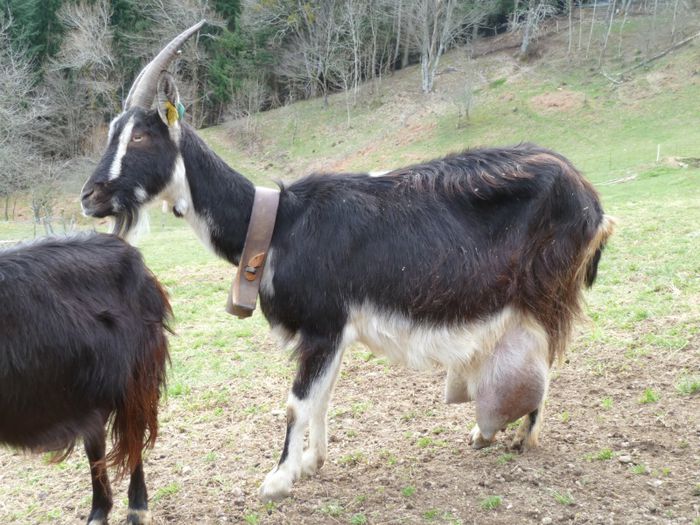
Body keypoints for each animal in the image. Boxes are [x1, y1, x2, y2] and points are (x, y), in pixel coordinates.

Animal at [0, 234, 170, 524]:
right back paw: (99, 511)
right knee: (97, 444)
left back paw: (137, 509)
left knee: (133, 440)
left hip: (137, 382)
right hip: (88, 396)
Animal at [80, 22, 612, 502]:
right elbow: (324, 396)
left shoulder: (322, 324)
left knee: (547, 355)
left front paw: (277, 480)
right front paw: (312, 462)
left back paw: (523, 437)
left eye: (141, 137)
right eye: (112, 133)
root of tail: (593, 202)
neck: (278, 224)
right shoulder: (334, 332)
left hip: (547, 291)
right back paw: (485, 433)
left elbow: (298, 402)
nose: (90, 197)